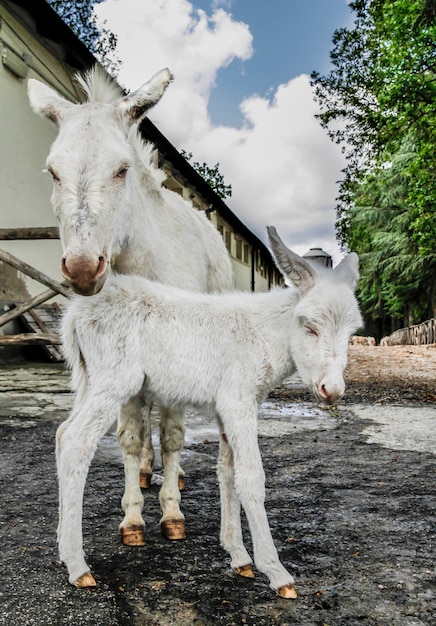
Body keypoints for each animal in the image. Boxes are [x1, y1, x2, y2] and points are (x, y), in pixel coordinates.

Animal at [58, 225, 364, 596]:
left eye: (351, 333)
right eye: (310, 327)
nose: (332, 391)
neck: (265, 335)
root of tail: (76, 312)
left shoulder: (226, 408)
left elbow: (226, 472)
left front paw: (239, 556)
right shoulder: (239, 402)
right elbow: (251, 477)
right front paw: (275, 571)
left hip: (90, 381)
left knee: (61, 434)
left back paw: (63, 547)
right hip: (113, 382)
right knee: (76, 442)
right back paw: (77, 565)